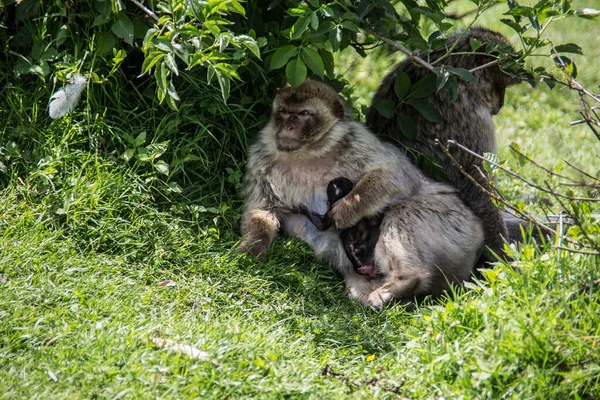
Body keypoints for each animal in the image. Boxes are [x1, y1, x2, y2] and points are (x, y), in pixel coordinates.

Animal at [239, 79, 482, 308]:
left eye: (303, 113)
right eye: (283, 111)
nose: (288, 126)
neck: (308, 153)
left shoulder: (357, 140)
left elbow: (393, 174)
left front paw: (345, 211)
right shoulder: (260, 159)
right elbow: (262, 210)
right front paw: (251, 249)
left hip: (455, 221)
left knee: (403, 210)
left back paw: (406, 279)